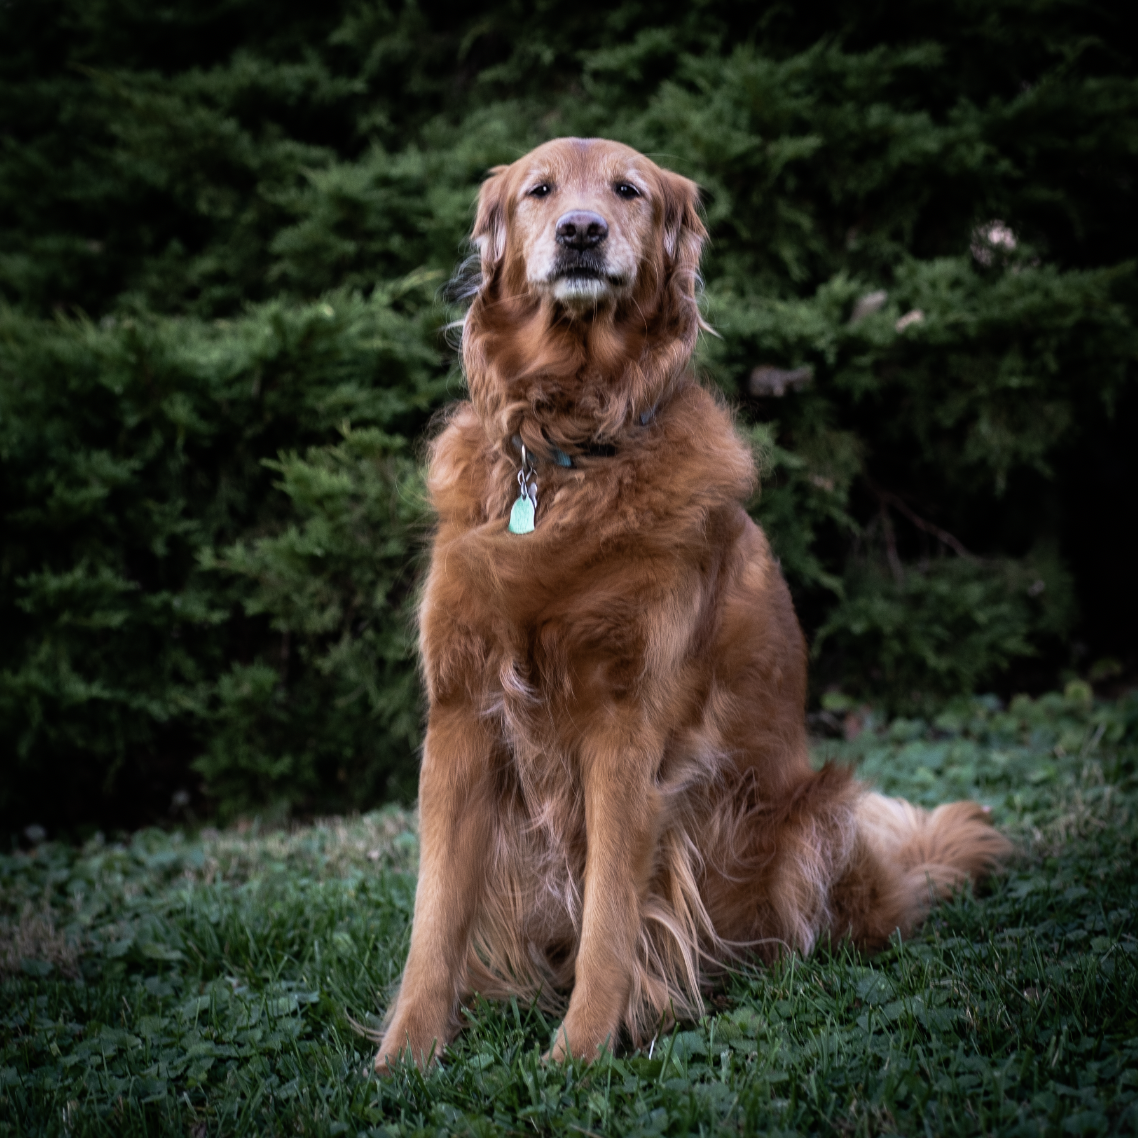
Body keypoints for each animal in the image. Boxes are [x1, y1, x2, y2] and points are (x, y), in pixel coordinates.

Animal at [370, 137, 1005, 1069]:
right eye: (539, 190)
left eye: (628, 190)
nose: (582, 231)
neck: (568, 452)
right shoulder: (459, 716)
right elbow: (434, 916)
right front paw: (406, 1055)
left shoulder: (628, 731)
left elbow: (610, 917)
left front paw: (581, 1052)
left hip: (814, 816)